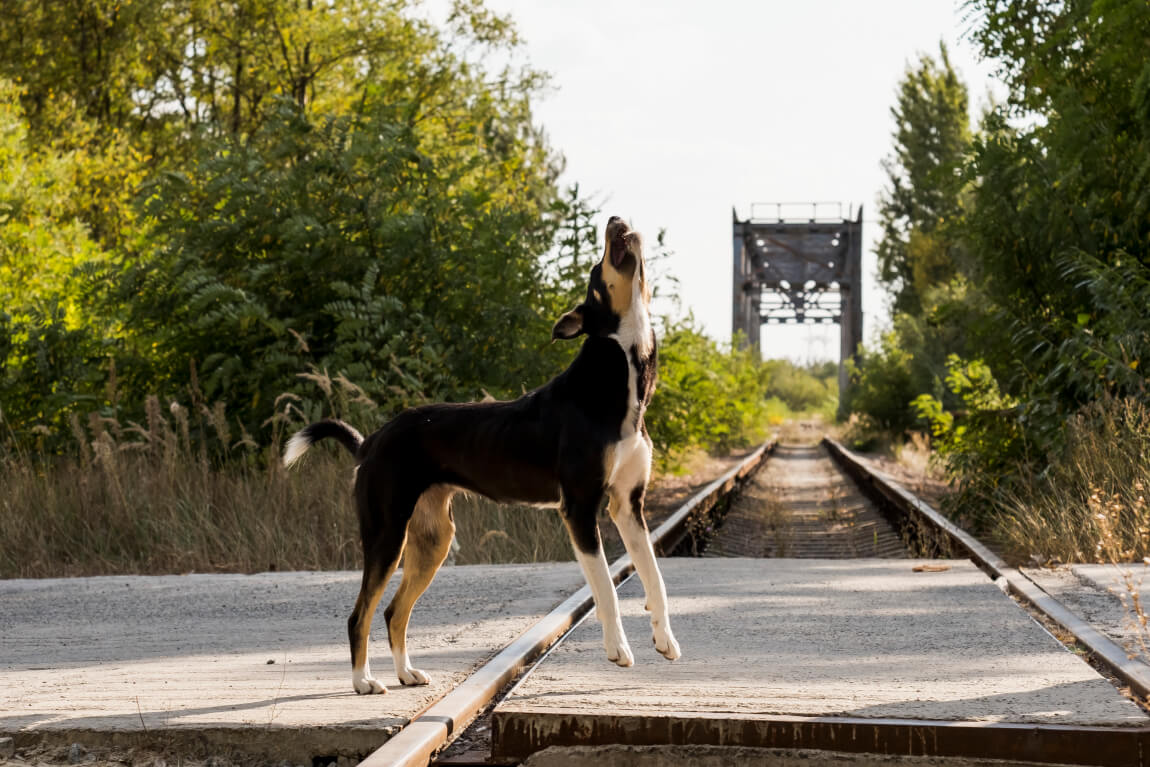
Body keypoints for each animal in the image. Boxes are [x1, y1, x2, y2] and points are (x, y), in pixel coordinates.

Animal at [282, 215, 676, 694]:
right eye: (598, 269)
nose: (615, 220)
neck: (619, 380)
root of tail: (372, 440)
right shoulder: (580, 509)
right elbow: (607, 589)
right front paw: (618, 649)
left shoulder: (628, 506)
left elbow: (655, 579)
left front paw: (665, 640)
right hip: (386, 535)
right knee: (360, 614)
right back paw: (363, 680)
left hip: (433, 540)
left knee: (395, 611)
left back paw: (406, 672)